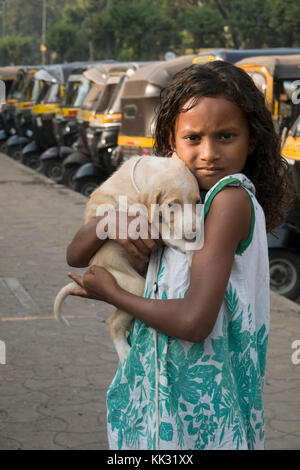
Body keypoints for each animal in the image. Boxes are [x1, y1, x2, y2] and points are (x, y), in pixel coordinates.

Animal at [54, 154, 202, 364]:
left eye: (198, 201)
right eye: (172, 204)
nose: (194, 231)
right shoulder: (145, 223)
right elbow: (169, 232)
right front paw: (191, 248)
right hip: (132, 284)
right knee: (113, 322)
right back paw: (124, 352)